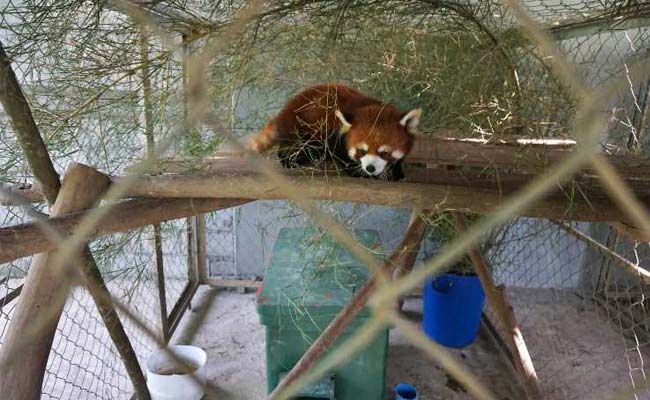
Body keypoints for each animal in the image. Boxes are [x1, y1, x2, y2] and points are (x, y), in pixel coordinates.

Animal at [244, 83, 420, 180]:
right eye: (361, 151)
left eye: (384, 152)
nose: (370, 168)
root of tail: (285, 111)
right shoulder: (335, 134)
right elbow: (341, 155)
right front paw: (359, 173)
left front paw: (397, 172)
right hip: (302, 128)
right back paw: (294, 161)